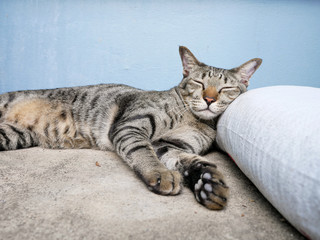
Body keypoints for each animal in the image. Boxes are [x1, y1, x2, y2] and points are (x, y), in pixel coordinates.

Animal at [0, 47, 262, 210]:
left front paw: (206, 182)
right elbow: (142, 151)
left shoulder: (170, 145)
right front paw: (160, 174)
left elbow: (190, 161)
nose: (209, 99)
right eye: (199, 83)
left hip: (13, 136)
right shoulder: (132, 126)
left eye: (226, 88)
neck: (189, 117)